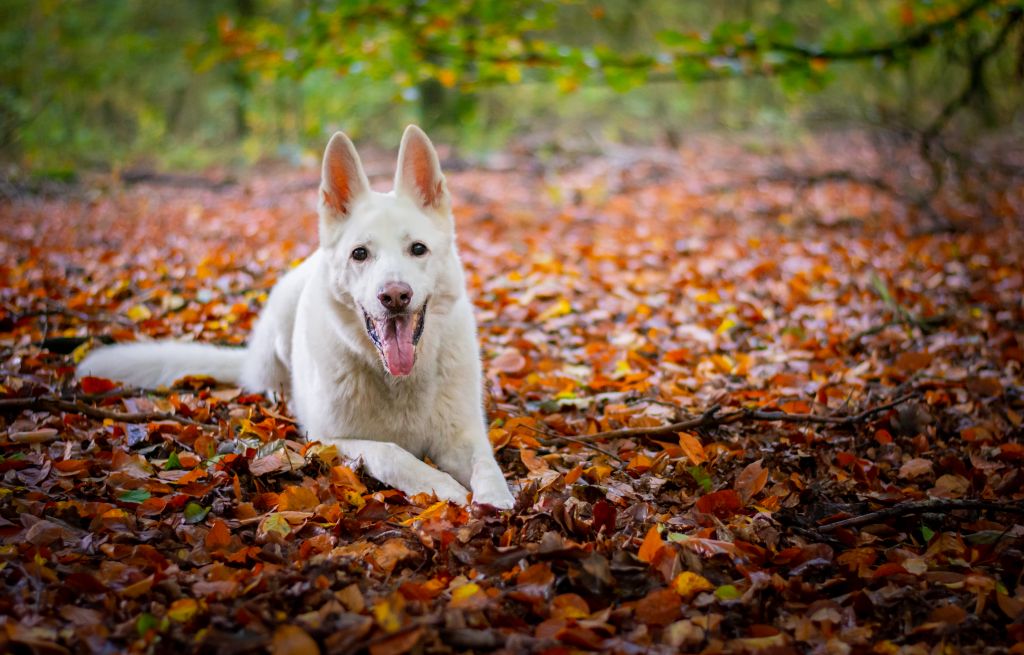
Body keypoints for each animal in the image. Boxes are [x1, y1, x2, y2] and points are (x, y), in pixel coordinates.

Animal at [75, 125, 516, 509]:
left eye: (418, 249)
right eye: (360, 254)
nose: (394, 296)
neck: (397, 381)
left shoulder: (464, 434)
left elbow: (486, 464)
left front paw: (496, 499)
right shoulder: (330, 438)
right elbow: (393, 454)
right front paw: (443, 486)